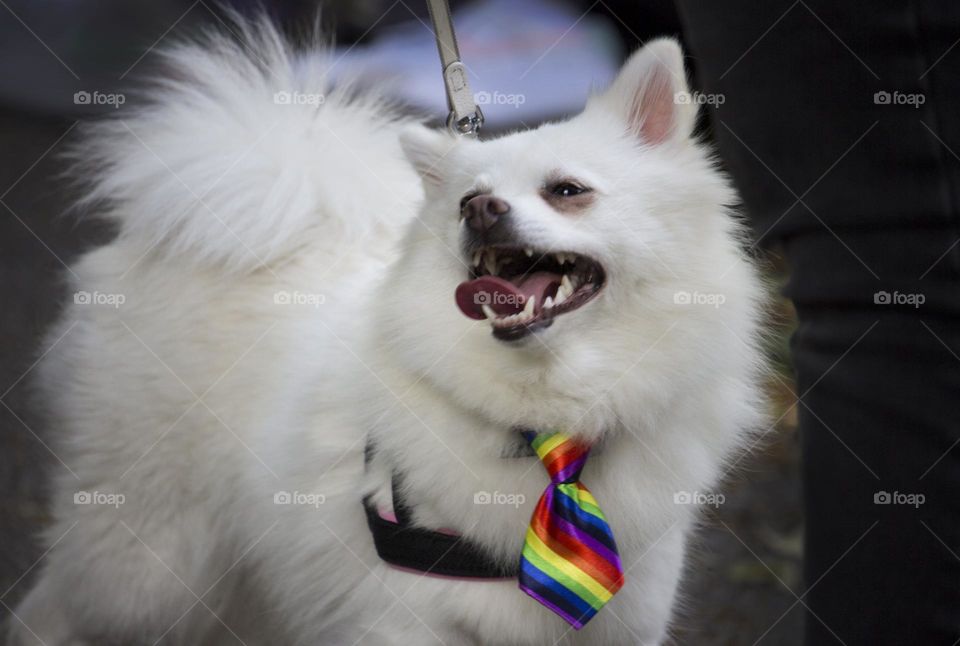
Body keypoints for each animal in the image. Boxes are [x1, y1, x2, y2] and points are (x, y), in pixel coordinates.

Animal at [9, 17, 764, 646]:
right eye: (467, 201)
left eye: (568, 191)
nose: (481, 212)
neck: (547, 425)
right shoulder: (402, 618)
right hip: (145, 567)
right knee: (51, 612)